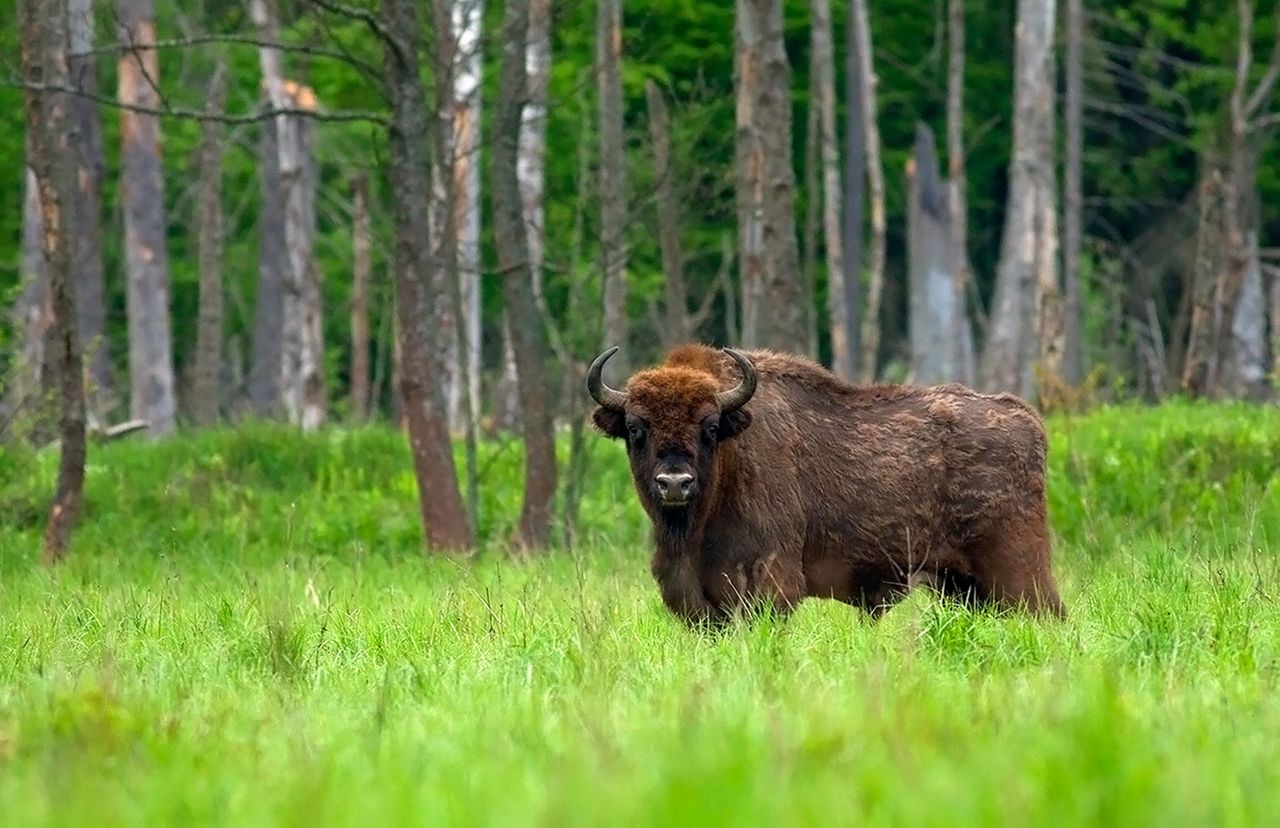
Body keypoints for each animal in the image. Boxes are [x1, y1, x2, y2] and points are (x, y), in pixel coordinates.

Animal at [586, 345, 1064, 629]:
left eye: (710, 426)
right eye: (635, 427)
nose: (674, 483)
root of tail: (1027, 419)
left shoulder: (771, 583)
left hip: (1018, 572)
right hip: (963, 586)